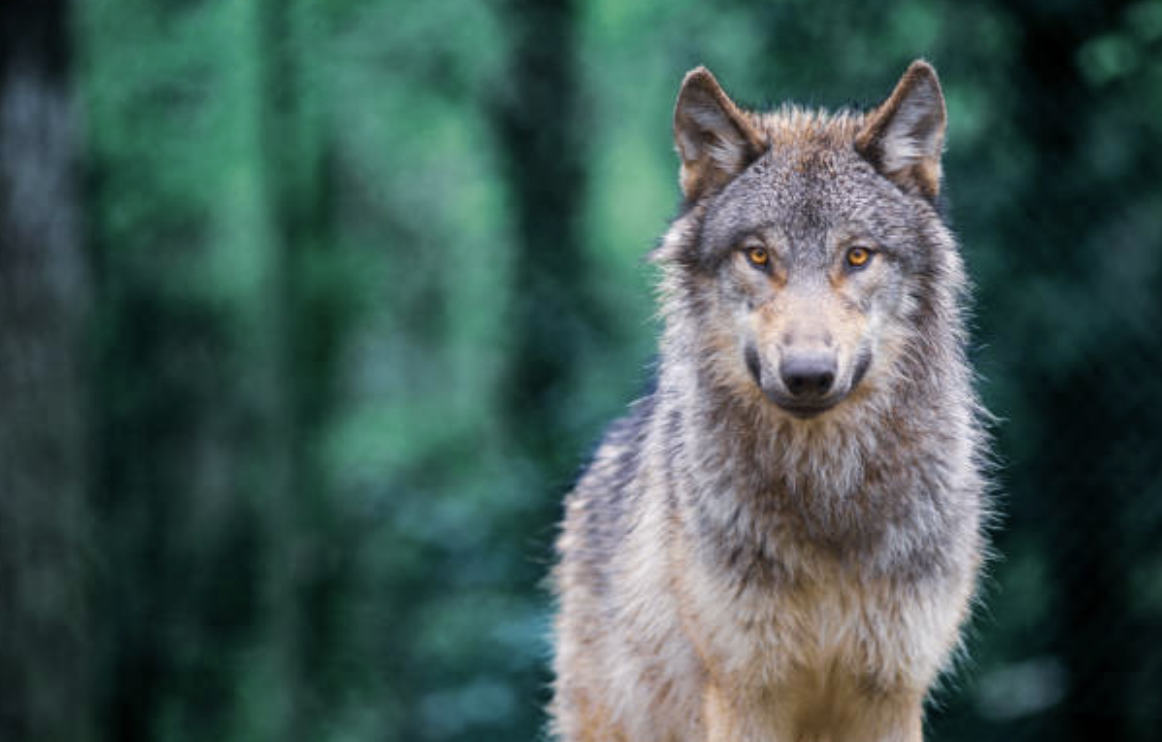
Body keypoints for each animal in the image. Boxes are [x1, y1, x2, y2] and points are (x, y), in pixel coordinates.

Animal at [550, 60, 988, 742]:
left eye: (857, 255)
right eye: (758, 255)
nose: (808, 375)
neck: (827, 498)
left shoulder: (892, 691)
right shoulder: (745, 693)